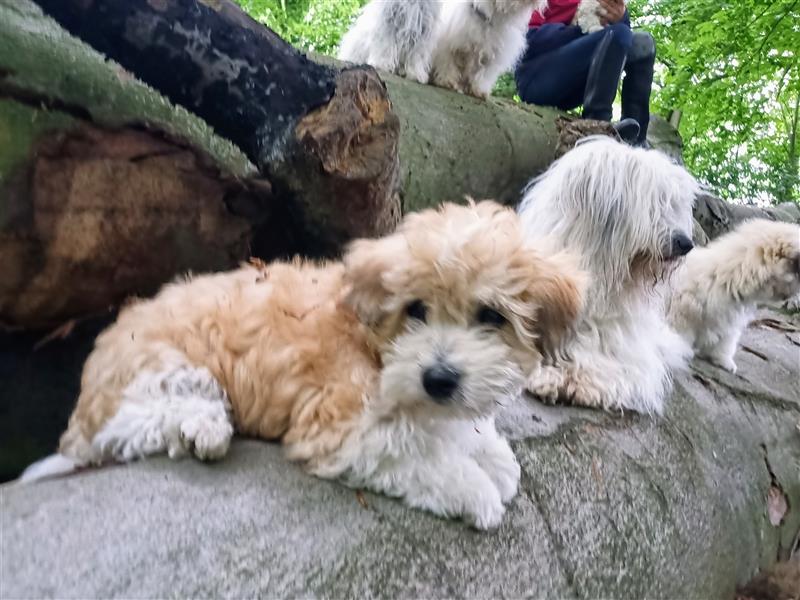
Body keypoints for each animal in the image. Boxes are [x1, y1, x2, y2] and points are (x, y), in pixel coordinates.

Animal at [21, 202, 584, 528]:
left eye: (491, 316)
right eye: (415, 309)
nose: (439, 378)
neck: (373, 342)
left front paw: (492, 457)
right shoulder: (342, 426)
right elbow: (416, 455)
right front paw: (474, 488)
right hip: (164, 366)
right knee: (131, 426)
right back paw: (203, 426)